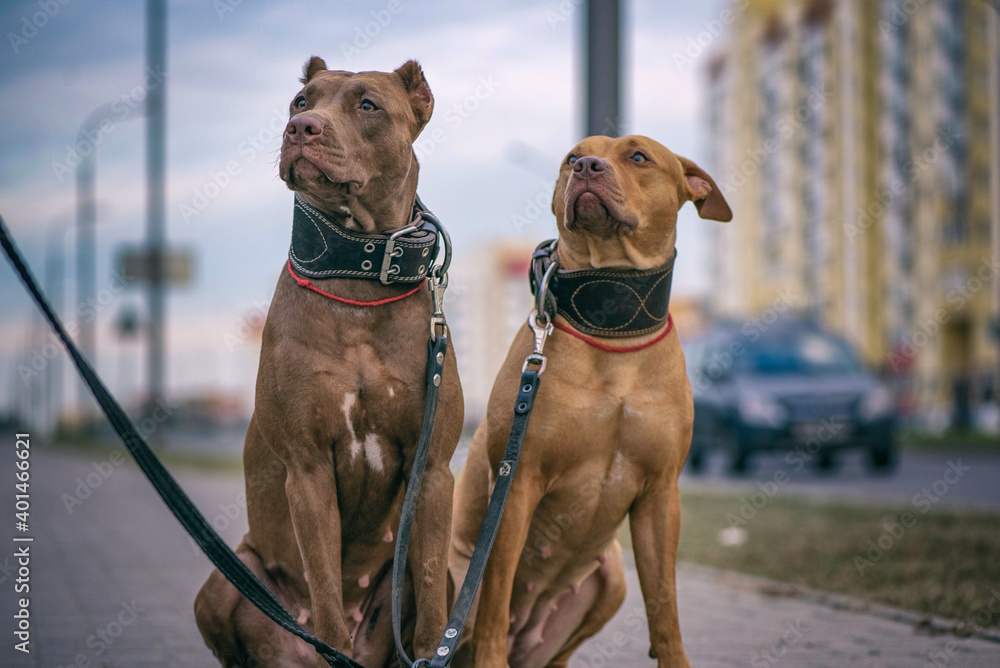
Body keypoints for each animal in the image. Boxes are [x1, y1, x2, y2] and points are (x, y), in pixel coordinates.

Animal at [195, 57, 464, 668]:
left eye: (368, 105)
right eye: (301, 101)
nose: (302, 129)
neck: (359, 278)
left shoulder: (434, 470)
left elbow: (431, 601)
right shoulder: (309, 467)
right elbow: (324, 593)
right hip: (224, 581)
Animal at [450, 133, 732, 664]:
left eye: (639, 156)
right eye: (572, 157)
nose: (586, 167)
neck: (611, 325)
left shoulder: (661, 493)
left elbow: (664, 605)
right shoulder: (518, 482)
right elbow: (494, 596)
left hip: (612, 575)